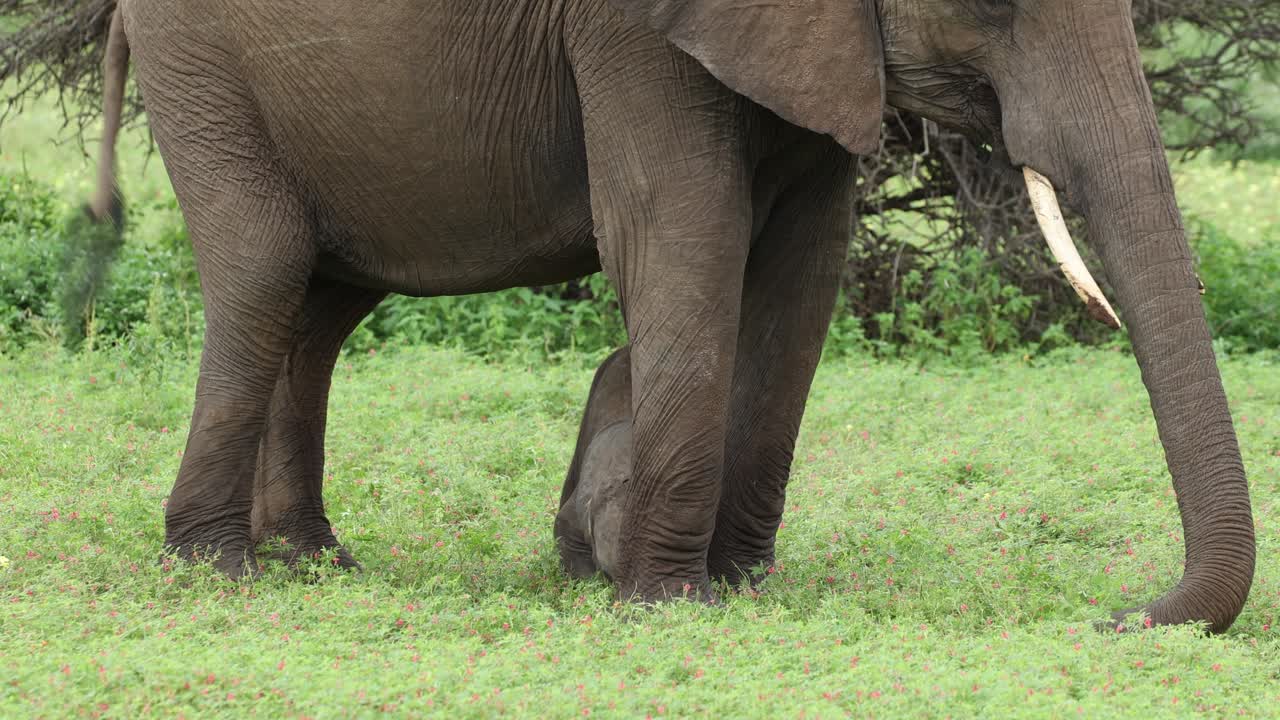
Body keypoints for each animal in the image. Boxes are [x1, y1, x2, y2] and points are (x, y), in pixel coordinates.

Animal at [75, 0, 1254, 631]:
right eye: (998, 5)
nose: (1114, 615)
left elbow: (803, 267)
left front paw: (737, 585)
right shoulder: (630, 30)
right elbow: (682, 228)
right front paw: (667, 601)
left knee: (322, 303)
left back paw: (310, 561)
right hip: (205, 68)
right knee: (267, 269)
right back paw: (217, 568)